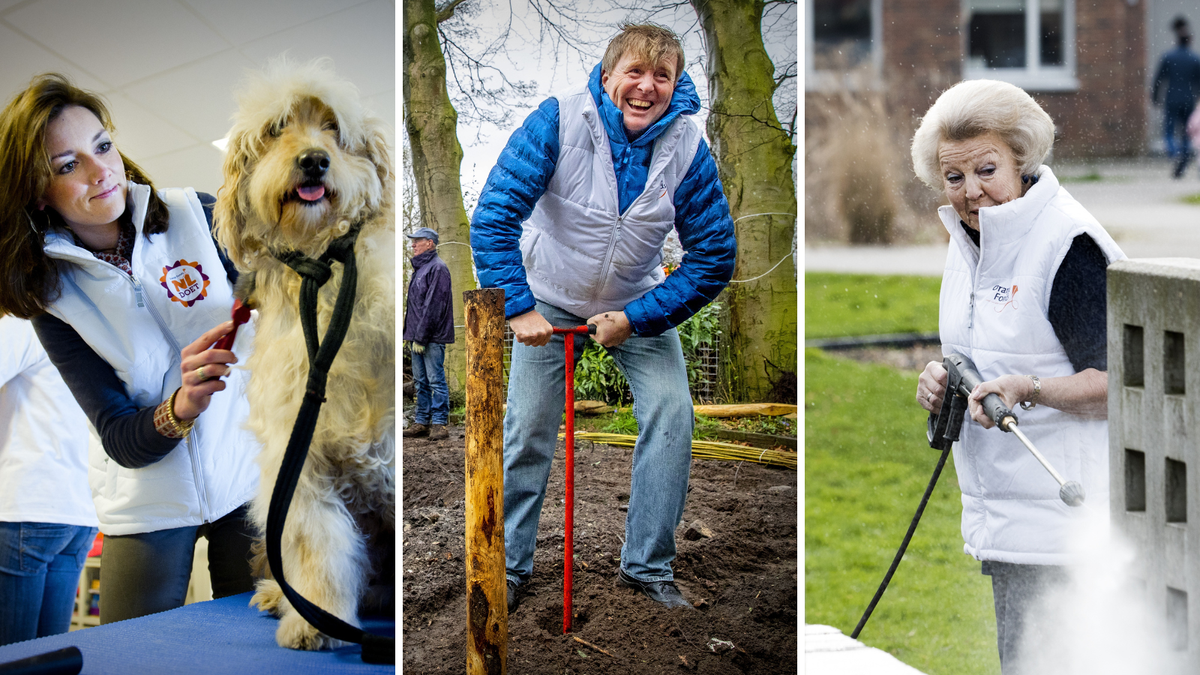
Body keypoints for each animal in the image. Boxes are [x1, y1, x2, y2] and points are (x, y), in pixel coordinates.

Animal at [213, 60, 396, 648]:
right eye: (276, 129)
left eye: (334, 128)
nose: (314, 159)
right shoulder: (297, 458)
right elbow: (319, 545)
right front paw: (317, 621)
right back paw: (278, 595)